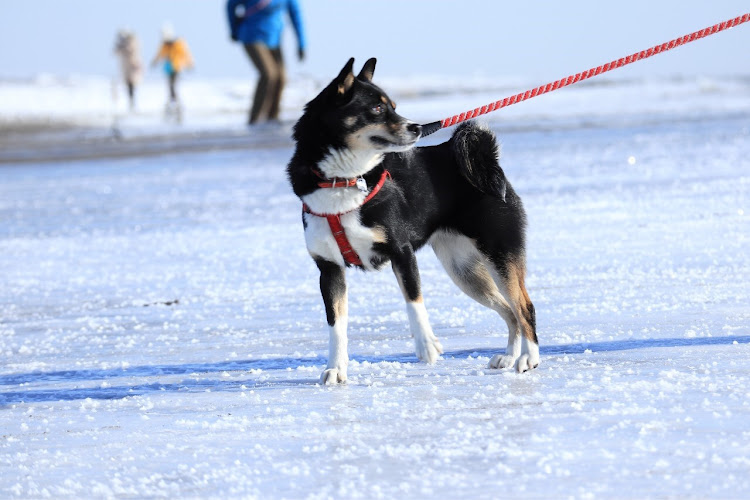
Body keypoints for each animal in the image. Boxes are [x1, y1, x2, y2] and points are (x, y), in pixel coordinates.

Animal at [288, 57, 540, 382]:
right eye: (377, 108)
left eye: (393, 106)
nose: (417, 127)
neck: (344, 180)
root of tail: (485, 161)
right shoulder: (329, 269)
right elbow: (337, 327)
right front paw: (335, 368)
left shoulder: (402, 252)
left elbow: (413, 302)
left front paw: (426, 344)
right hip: (464, 272)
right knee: (509, 311)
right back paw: (509, 356)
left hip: (499, 255)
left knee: (524, 307)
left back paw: (528, 358)